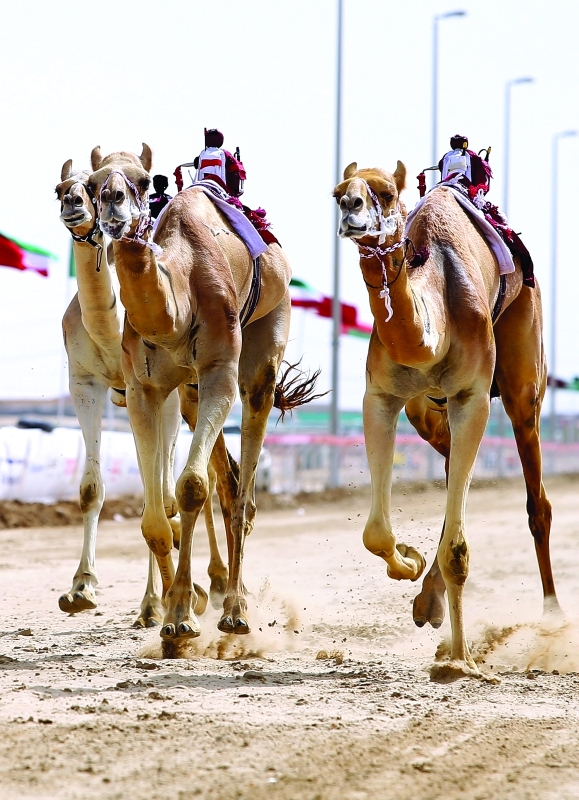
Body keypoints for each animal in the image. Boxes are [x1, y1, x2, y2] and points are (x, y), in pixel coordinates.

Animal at [87, 145, 312, 644]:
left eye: (143, 180)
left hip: (264, 344)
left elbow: (190, 486)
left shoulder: (219, 372)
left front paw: (184, 615)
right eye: (91, 184)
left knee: (243, 492)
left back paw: (237, 611)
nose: (112, 200)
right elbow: (156, 517)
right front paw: (173, 615)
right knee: (227, 484)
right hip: (188, 394)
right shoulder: (143, 389)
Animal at [334, 162, 560, 680]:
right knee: (451, 469)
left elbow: (458, 547)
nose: (350, 208)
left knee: (537, 501)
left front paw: (461, 660)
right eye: (338, 191)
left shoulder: (471, 397)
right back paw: (427, 602)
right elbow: (375, 532)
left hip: (522, 378)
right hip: (426, 410)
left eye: (385, 192)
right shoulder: (381, 396)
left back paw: (554, 619)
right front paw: (410, 563)